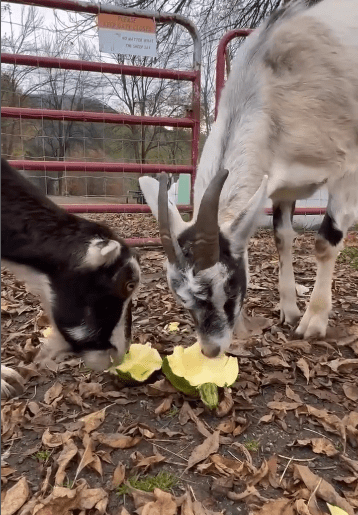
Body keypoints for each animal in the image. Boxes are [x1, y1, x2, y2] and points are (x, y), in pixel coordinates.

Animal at [140, 0, 358, 360]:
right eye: (181, 298)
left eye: (228, 285)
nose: (211, 349)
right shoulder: (281, 183)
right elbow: (282, 237)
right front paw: (289, 310)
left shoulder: (348, 168)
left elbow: (326, 242)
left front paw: (312, 322)